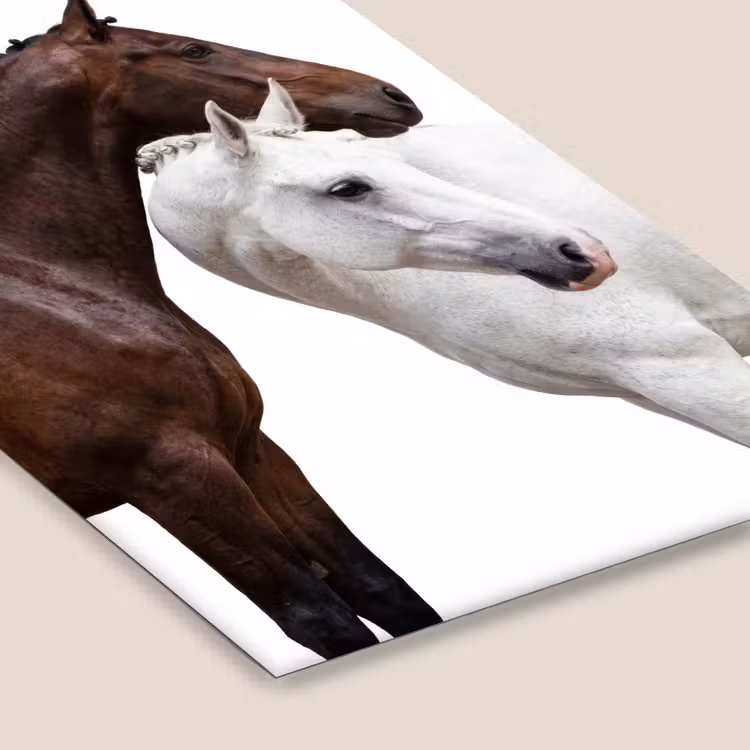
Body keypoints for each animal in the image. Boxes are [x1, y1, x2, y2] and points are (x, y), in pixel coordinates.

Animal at [0, 0, 441, 662]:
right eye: (193, 50)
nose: (391, 95)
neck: (61, 292)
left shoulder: (253, 451)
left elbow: (382, 589)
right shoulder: (175, 475)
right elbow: (319, 618)